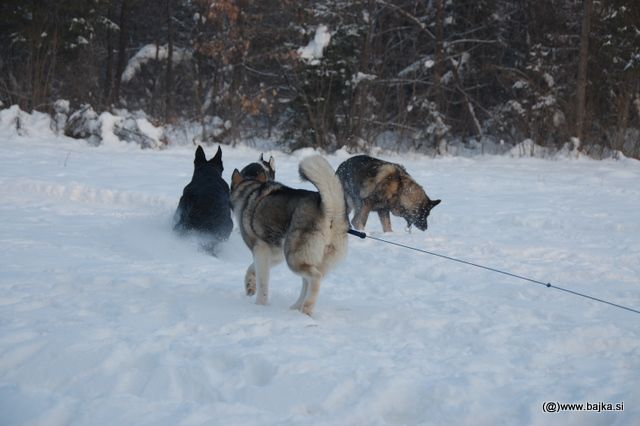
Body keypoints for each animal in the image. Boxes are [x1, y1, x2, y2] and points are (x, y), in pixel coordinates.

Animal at [230, 155, 348, 314]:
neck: (248, 190)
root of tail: (330, 211)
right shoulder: (275, 254)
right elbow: (252, 268)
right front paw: (250, 285)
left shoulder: (260, 250)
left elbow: (262, 281)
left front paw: (260, 304)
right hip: (305, 258)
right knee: (307, 282)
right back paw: (297, 307)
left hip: (294, 258)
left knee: (315, 278)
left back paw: (307, 307)